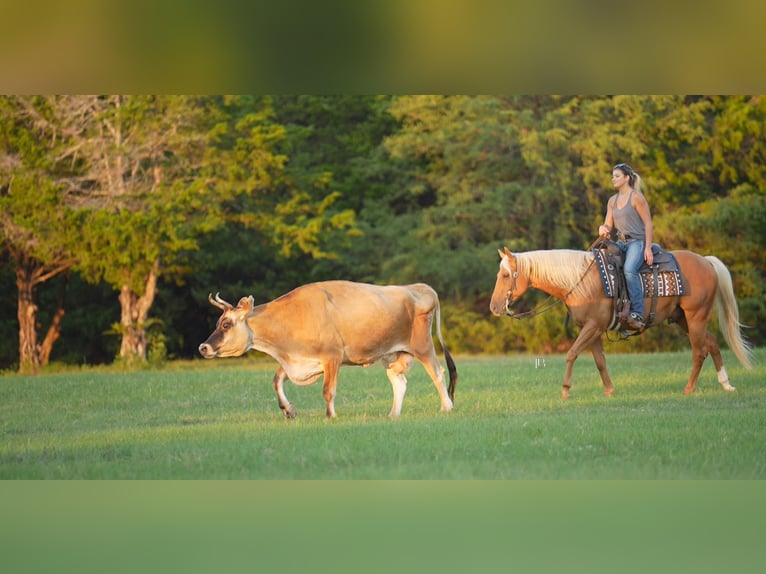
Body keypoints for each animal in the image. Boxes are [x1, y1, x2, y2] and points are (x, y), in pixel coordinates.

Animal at [489, 246, 753, 399]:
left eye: (506, 275)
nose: (494, 307)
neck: (580, 280)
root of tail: (706, 262)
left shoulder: (592, 326)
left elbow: (571, 353)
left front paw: (565, 390)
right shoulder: (592, 329)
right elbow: (600, 361)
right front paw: (609, 390)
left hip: (696, 316)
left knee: (699, 351)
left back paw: (689, 389)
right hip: (682, 319)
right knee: (712, 343)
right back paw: (726, 384)